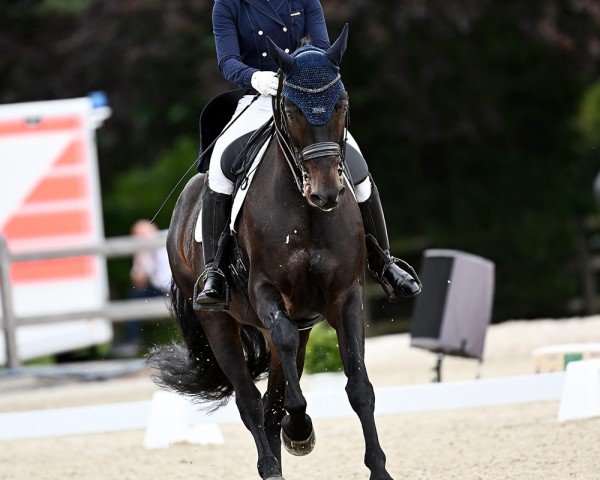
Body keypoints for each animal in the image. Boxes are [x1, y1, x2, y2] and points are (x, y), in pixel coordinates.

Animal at [148, 27, 396, 480]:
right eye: (292, 109)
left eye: (341, 103)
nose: (326, 193)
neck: (307, 214)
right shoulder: (266, 293)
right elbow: (279, 388)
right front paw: (299, 425)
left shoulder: (346, 297)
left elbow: (359, 387)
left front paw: (378, 468)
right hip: (219, 321)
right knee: (250, 401)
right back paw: (274, 460)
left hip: (302, 322)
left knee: (272, 396)